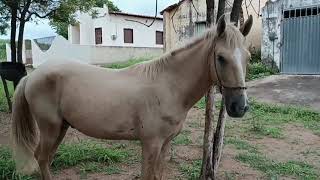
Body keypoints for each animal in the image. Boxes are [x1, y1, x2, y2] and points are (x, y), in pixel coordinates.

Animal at [11, 15, 252, 180]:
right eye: (220, 57)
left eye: (248, 57)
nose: (239, 107)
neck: (168, 86)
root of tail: (31, 76)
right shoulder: (151, 144)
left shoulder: (165, 144)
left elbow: (158, 175)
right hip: (50, 128)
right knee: (42, 158)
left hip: (61, 127)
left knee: (46, 158)